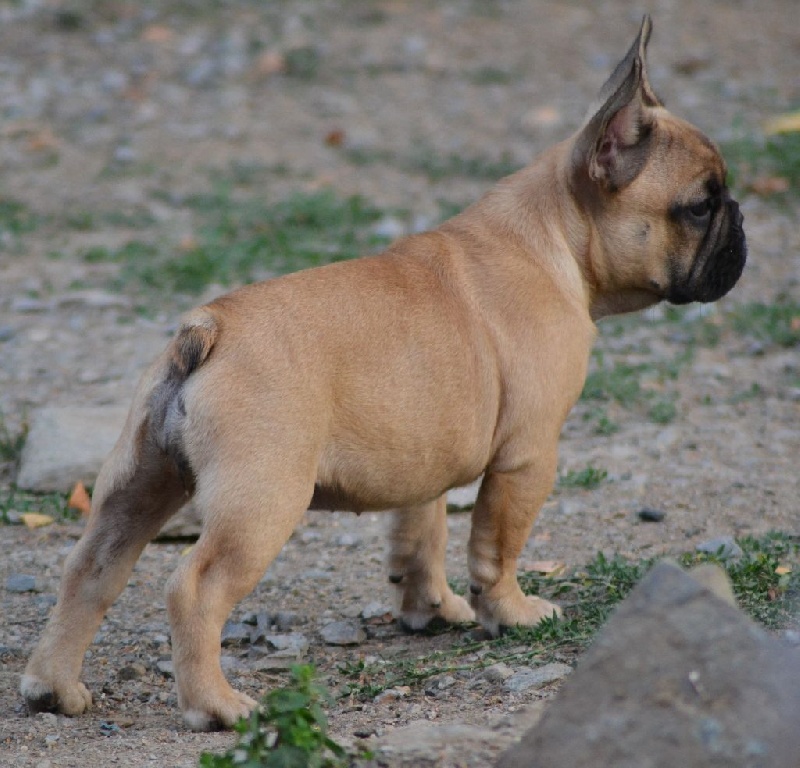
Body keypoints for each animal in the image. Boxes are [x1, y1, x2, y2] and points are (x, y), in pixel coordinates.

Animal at [21, 16, 746, 731]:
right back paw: (217, 706)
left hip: (138, 479)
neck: (555, 235)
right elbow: (497, 545)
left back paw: (53, 687)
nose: (742, 222)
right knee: (194, 588)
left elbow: (421, 533)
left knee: (89, 568)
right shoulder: (528, 457)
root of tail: (209, 327)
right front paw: (510, 613)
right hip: (263, 498)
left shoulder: (423, 457)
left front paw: (432, 608)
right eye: (700, 206)